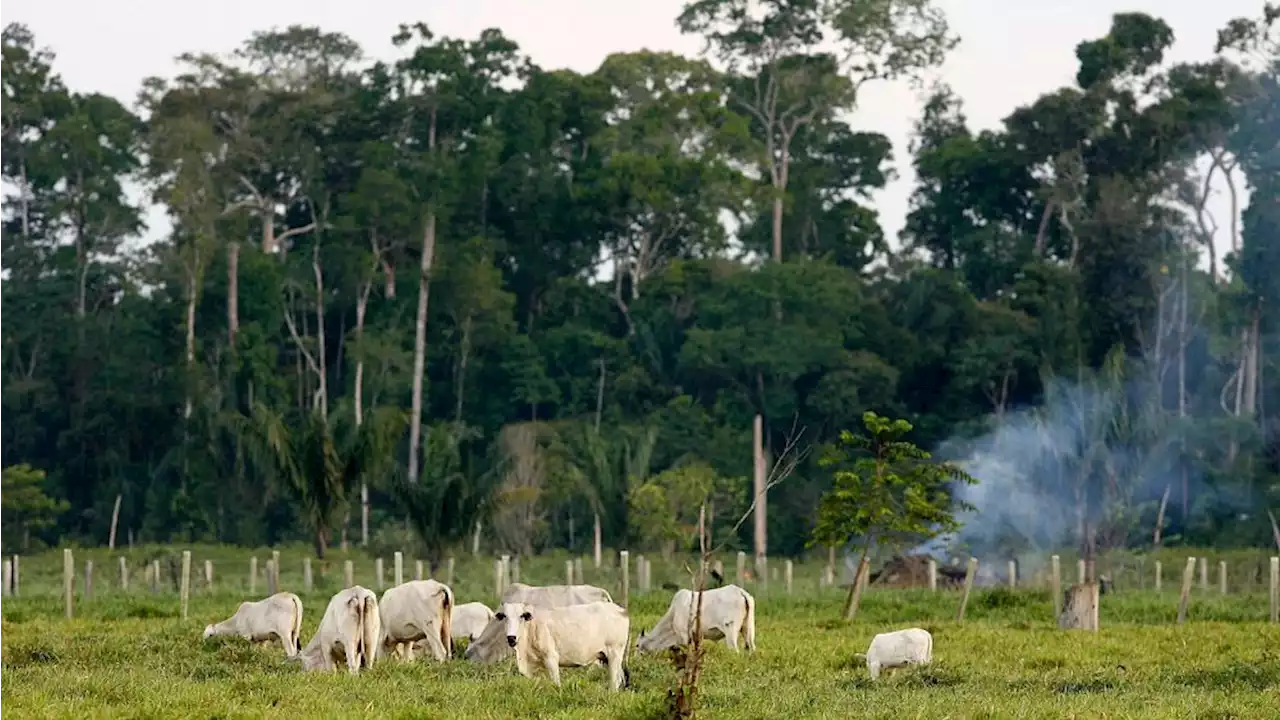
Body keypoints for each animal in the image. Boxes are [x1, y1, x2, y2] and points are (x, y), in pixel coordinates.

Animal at [488, 597, 629, 686]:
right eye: (504, 616)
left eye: (521, 616)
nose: (511, 637)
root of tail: (621, 610)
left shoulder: (551, 657)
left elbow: (556, 683)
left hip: (614, 654)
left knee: (615, 681)